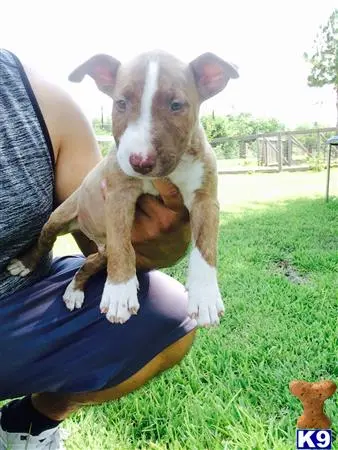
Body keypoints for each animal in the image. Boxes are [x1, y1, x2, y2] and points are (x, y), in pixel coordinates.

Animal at [8, 50, 240, 326]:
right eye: (121, 103)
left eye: (176, 105)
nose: (140, 161)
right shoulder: (118, 193)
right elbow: (122, 243)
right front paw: (119, 293)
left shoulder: (205, 199)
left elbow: (205, 245)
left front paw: (204, 297)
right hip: (59, 216)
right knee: (47, 239)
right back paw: (25, 263)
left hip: (101, 252)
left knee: (88, 262)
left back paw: (74, 291)